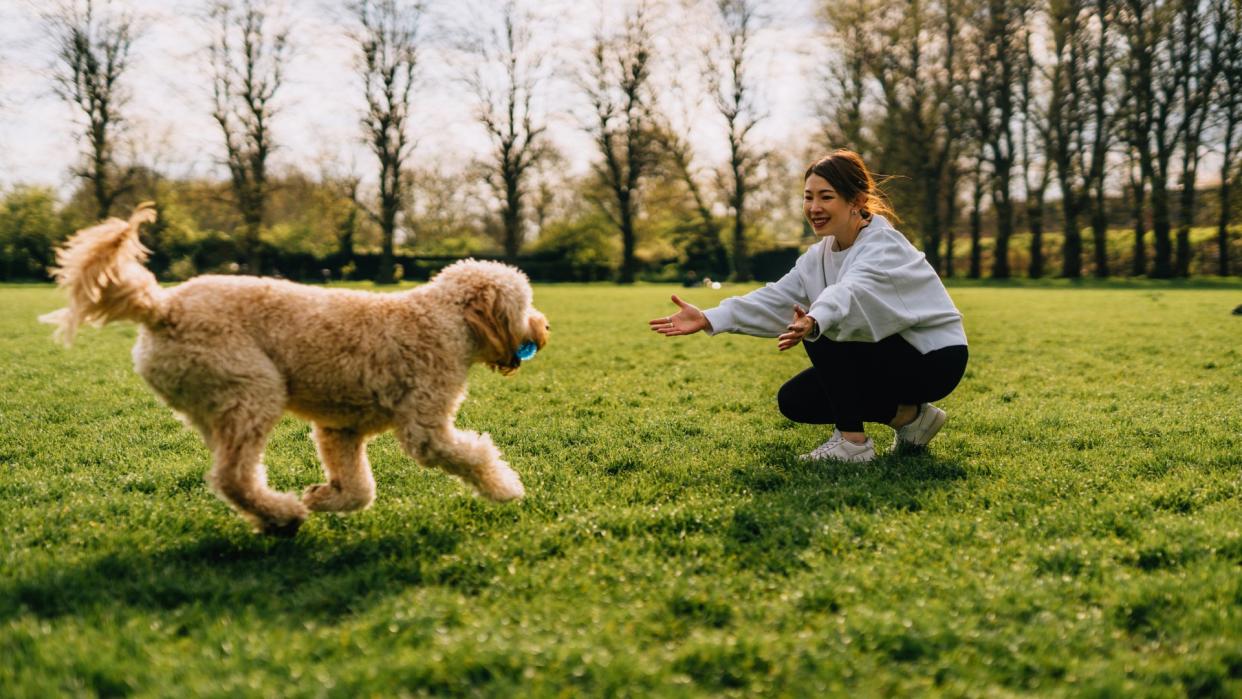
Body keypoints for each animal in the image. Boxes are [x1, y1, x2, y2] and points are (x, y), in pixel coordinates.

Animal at [38, 202, 548, 536]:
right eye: (524, 304)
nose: (544, 328)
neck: (444, 320)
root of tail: (162, 308)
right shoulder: (425, 428)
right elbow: (473, 454)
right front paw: (504, 488)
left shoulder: (340, 430)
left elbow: (359, 488)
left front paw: (324, 497)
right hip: (253, 390)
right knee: (233, 477)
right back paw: (283, 514)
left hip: (216, 407)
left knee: (230, 477)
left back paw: (273, 517)